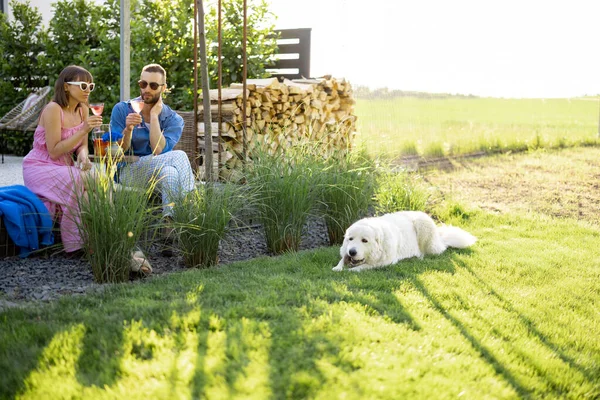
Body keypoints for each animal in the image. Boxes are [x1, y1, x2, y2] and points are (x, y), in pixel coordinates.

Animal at [330, 209, 476, 272]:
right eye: (350, 239)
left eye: (364, 240)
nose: (352, 252)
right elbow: (341, 260)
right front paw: (338, 267)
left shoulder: (386, 262)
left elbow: (364, 266)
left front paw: (350, 270)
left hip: (425, 231)